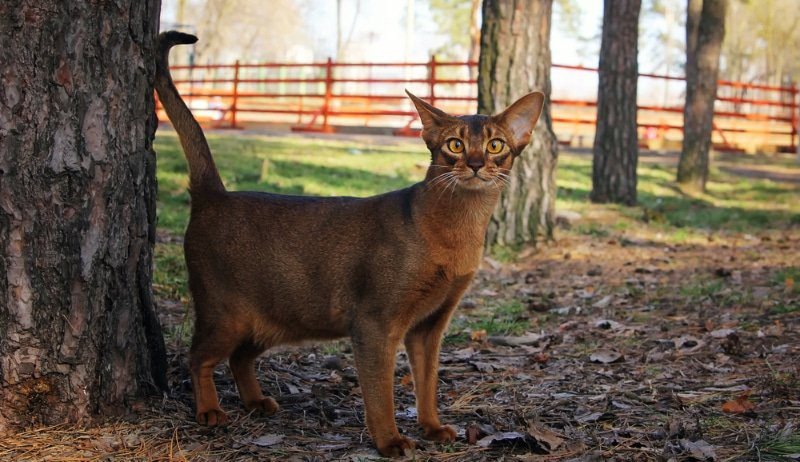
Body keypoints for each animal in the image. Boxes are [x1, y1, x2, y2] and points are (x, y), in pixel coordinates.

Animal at [154, 30, 548, 456]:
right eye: (455, 145)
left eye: (495, 146)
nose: (475, 164)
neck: (457, 229)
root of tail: (215, 195)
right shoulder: (375, 323)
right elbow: (380, 392)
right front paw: (390, 440)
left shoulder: (430, 326)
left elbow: (427, 383)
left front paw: (432, 427)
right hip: (227, 313)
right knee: (198, 357)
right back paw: (209, 410)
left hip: (274, 319)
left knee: (240, 357)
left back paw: (256, 401)